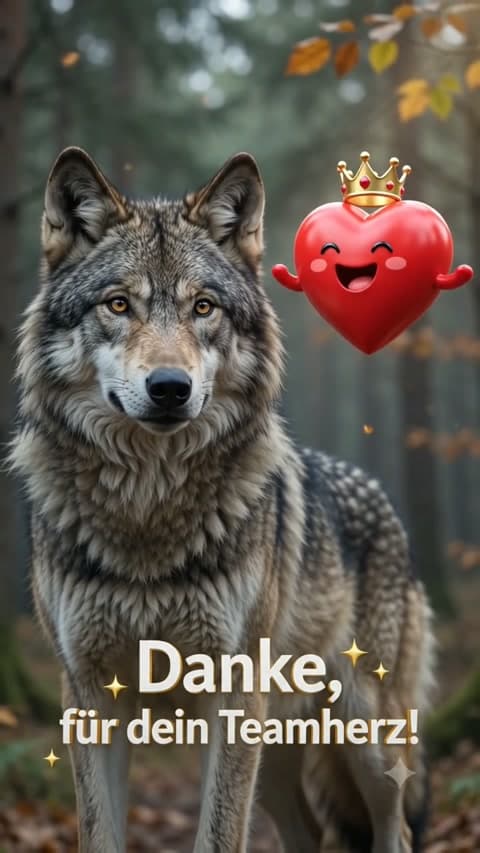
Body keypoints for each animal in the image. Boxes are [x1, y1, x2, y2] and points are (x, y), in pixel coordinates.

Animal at [11, 146, 434, 853]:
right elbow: (100, 832)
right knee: (310, 833)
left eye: (204, 307)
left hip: (365, 736)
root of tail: (385, 504)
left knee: (394, 827)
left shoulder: (232, 693)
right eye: (118, 304)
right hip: (283, 753)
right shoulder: (92, 694)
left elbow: (217, 835)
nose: (169, 387)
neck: (148, 510)